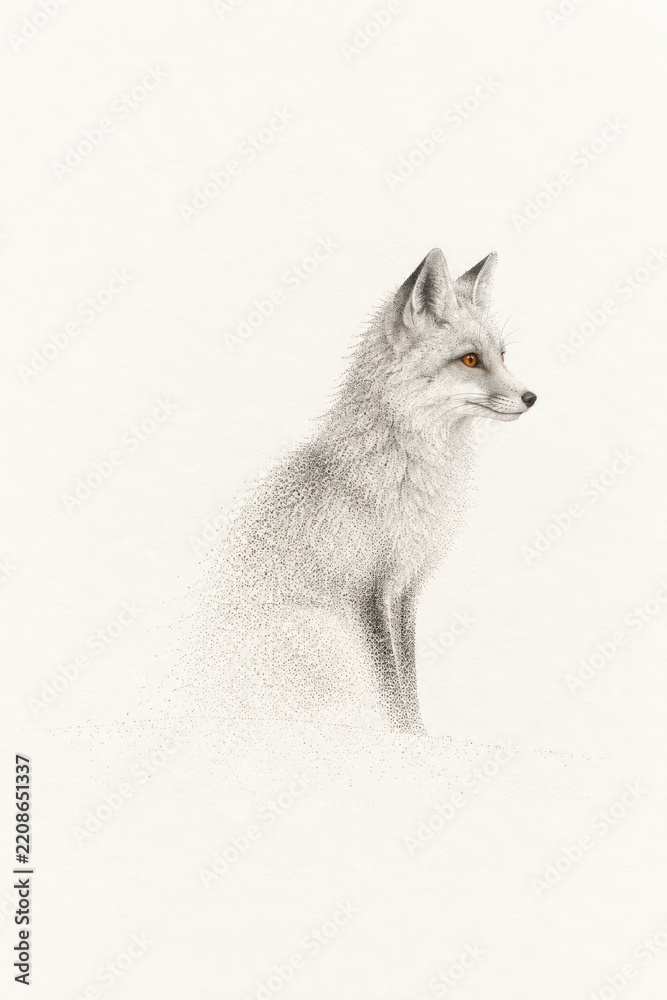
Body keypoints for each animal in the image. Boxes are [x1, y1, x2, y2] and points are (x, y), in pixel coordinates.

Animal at [198, 248, 536, 735]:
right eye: (471, 360)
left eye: (503, 355)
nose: (531, 397)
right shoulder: (366, 593)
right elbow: (389, 685)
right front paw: (401, 739)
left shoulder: (405, 588)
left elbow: (408, 680)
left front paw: (418, 736)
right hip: (313, 636)